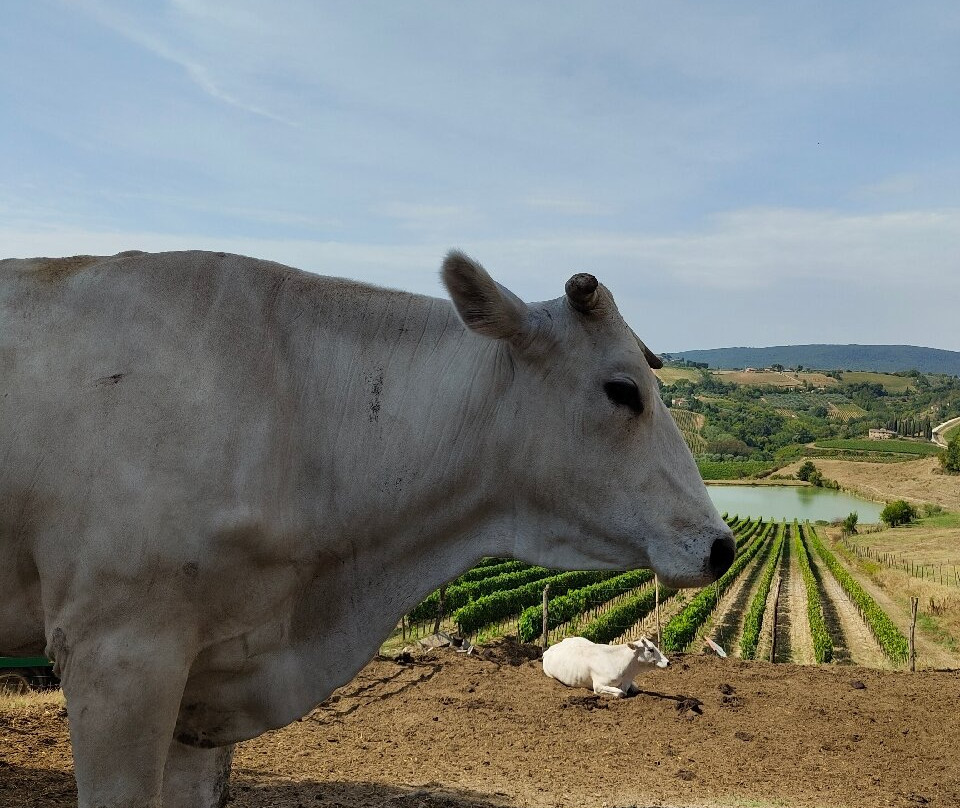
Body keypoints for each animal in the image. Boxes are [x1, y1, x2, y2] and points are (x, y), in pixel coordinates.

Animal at [540, 636, 668, 696]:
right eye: (650, 649)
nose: (668, 662)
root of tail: (549, 649)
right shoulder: (598, 686)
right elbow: (621, 693)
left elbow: (635, 687)